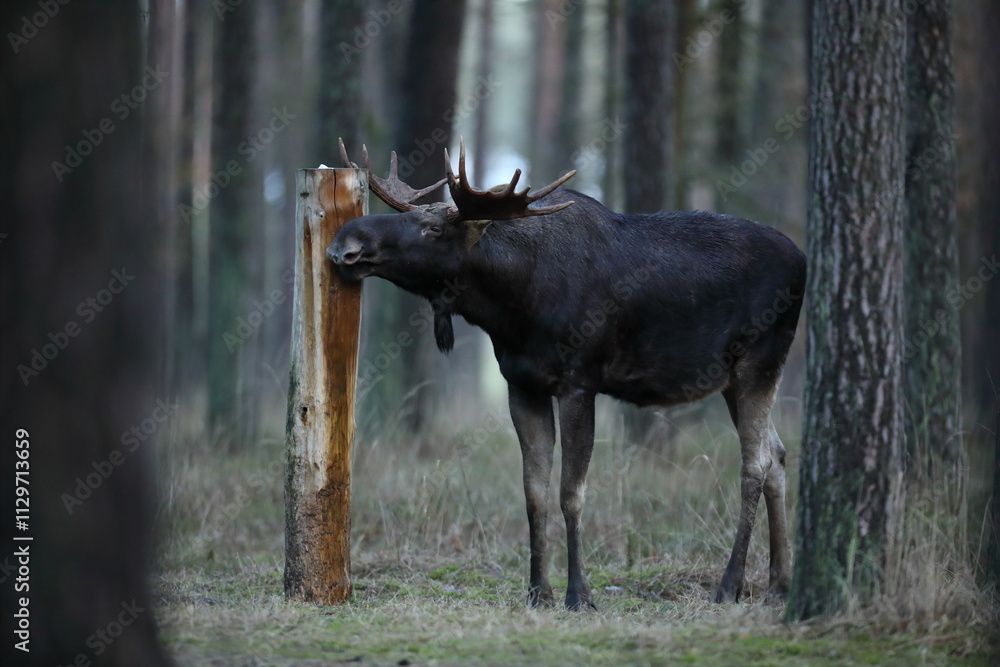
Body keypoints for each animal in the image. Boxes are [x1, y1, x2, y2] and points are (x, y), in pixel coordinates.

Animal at [327, 139, 806, 610]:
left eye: (433, 229)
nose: (344, 243)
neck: (513, 308)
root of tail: (804, 261)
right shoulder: (522, 385)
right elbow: (534, 492)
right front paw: (538, 592)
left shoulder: (580, 382)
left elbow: (570, 493)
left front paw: (579, 594)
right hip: (733, 378)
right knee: (779, 454)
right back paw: (779, 584)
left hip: (760, 359)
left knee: (756, 463)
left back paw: (730, 586)